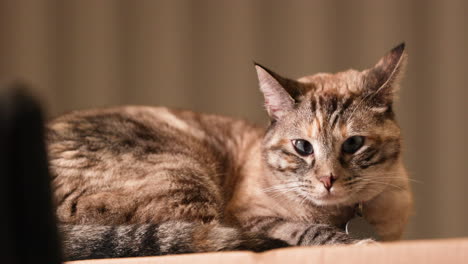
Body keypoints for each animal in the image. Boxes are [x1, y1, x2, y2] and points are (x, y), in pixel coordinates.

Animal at [47, 42, 412, 260]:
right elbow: (306, 230)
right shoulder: (252, 219)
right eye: (302, 147)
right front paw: (357, 244)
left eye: (353, 144)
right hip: (188, 184)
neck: (340, 214)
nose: (328, 181)